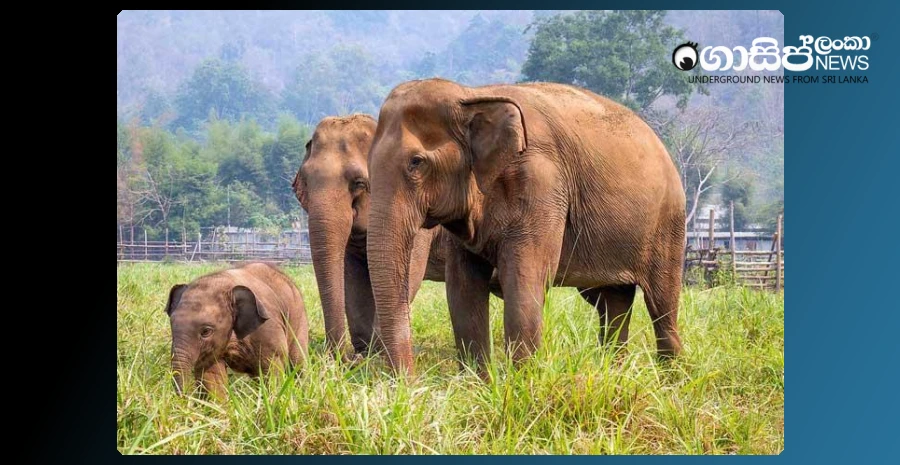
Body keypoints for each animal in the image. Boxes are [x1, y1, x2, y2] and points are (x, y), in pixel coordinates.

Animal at [164, 262, 308, 398]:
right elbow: (211, 375)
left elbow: (272, 367)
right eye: (172, 326)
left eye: (206, 331)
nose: (186, 399)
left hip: (299, 318)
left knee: (297, 362)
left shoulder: (269, 328)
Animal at [365, 78, 686, 376]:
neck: (472, 95)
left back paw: (670, 377)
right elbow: (462, 290)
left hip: (668, 225)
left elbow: (524, 281)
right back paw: (614, 373)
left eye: (416, 162)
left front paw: (522, 384)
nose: (409, 382)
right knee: (613, 303)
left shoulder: (541, 183)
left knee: (661, 306)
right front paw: (480, 385)